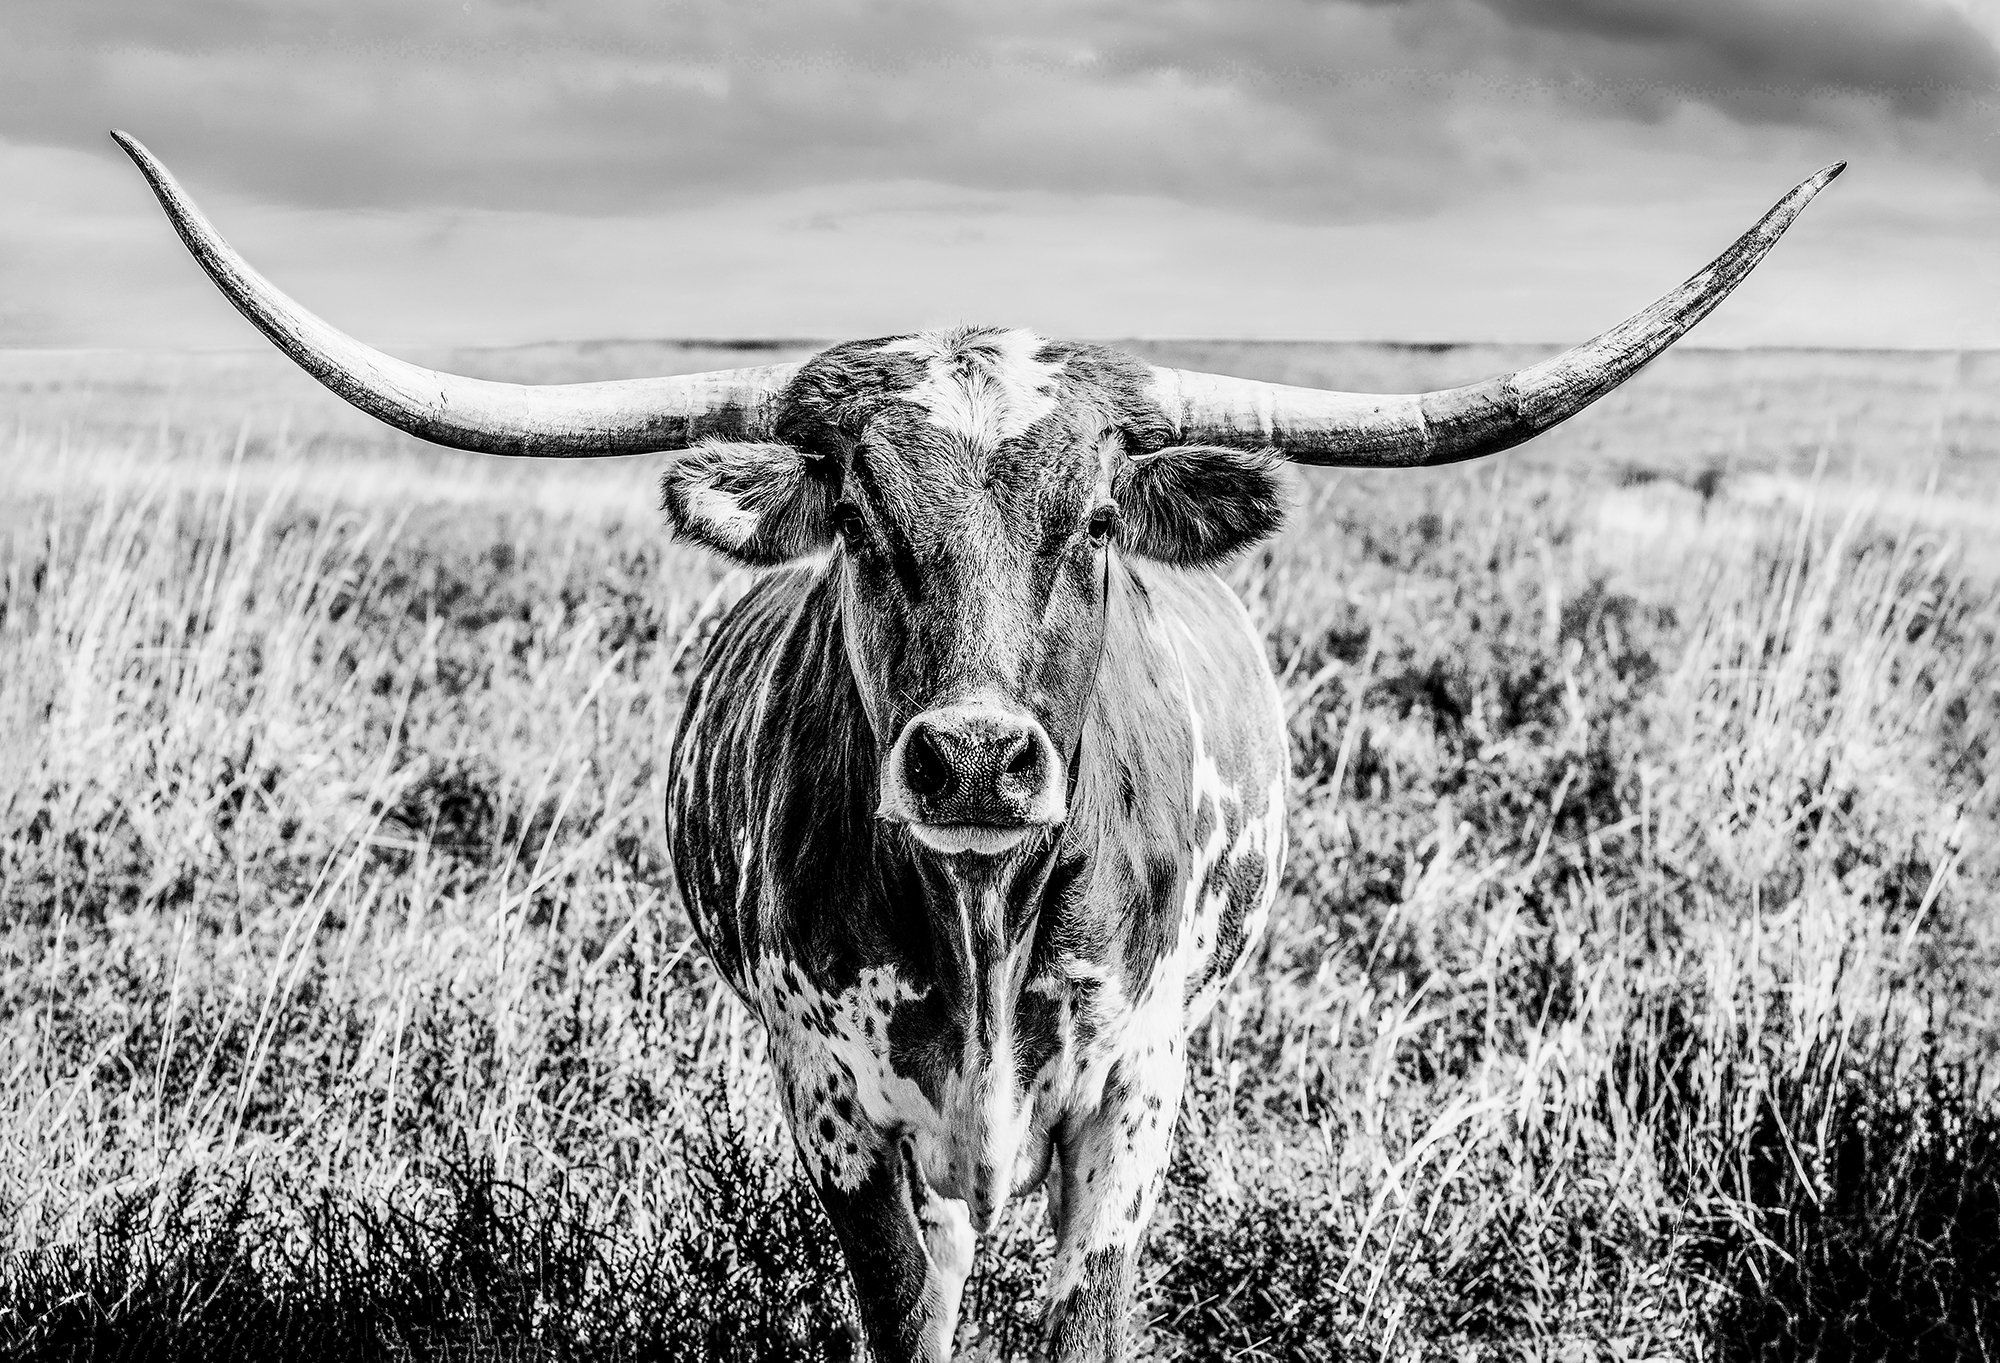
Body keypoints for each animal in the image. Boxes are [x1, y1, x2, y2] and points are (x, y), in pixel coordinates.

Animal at [113, 134, 1840, 1359]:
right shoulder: (835, 1103)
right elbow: (909, 1313)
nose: (973, 763)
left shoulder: (1134, 1095)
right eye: (864, 521)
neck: (985, 915)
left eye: (1094, 521)